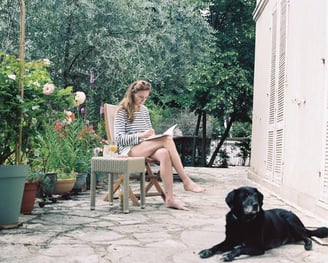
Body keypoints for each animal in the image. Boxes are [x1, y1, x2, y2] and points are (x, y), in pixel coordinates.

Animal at [199, 187, 328, 262]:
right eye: (243, 196)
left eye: (256, 196)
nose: (256, 205)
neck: (242, 222)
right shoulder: (230, 241)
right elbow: (217, 246)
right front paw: (207, 251)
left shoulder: (258, 247)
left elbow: (240, 248)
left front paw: (229, 255)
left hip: (290, 221)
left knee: (307, 236)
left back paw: (308, 245)